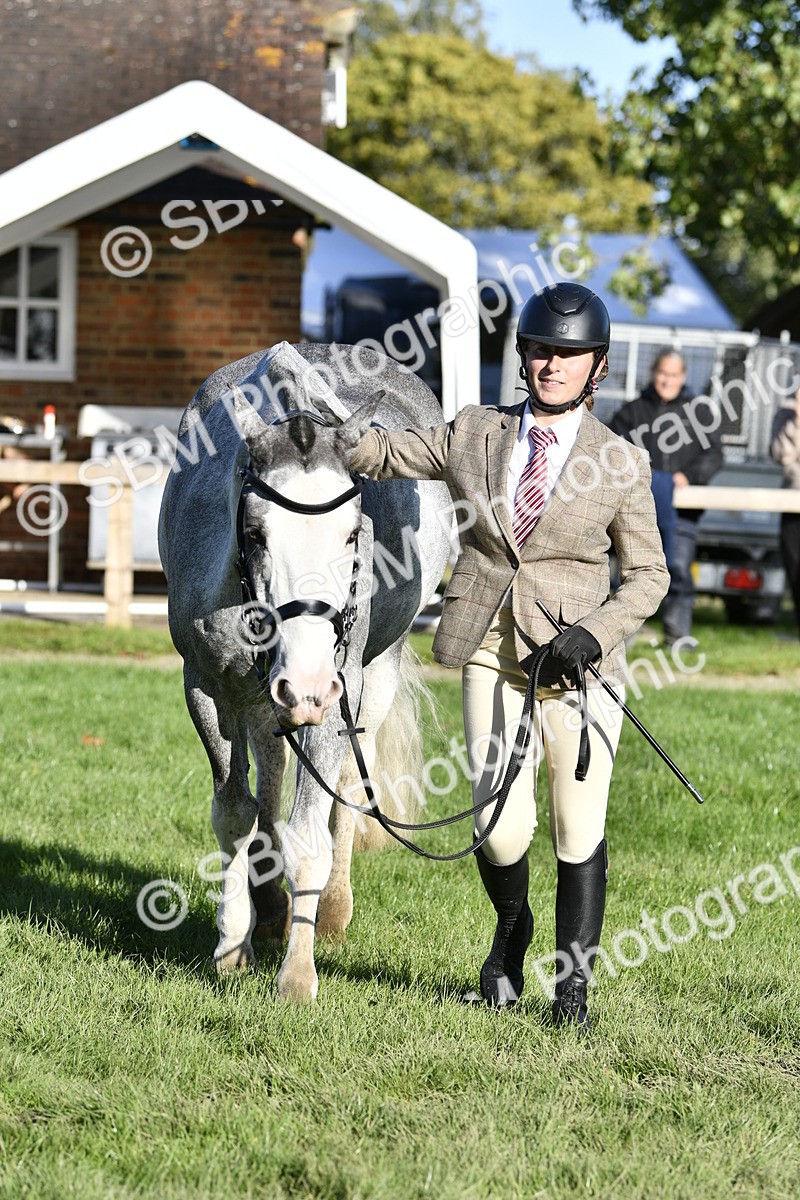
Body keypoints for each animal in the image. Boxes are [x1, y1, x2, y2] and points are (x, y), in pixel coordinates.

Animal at [158, 341, 451, 1000]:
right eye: (257, 533)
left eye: (352, 535)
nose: (311, 686)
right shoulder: (207, 690)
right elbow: (236, 813)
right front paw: (232, 945)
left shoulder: (335, 695)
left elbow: (312, 832)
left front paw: (297, 974)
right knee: (270, 767)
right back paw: (268, 907)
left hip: (370, 682)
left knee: (343, 789)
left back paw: (332, 910)